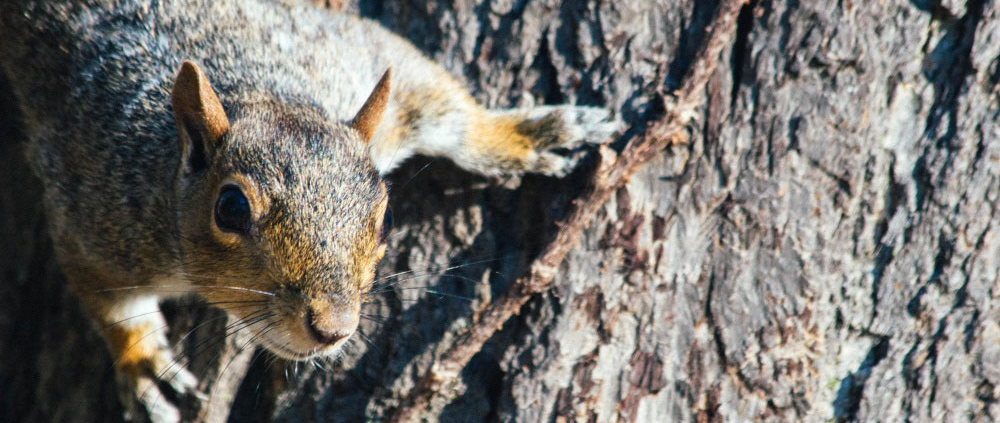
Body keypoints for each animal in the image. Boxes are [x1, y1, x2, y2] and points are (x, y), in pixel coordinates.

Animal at [0, 0, 620, 420]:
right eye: (230, 208)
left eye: (384, 214)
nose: (332, 328)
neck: (260, 90)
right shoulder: (93, 210)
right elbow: (108, 300)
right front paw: (143, 362)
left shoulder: (355, 55)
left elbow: (440, 99)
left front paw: (524, 134)